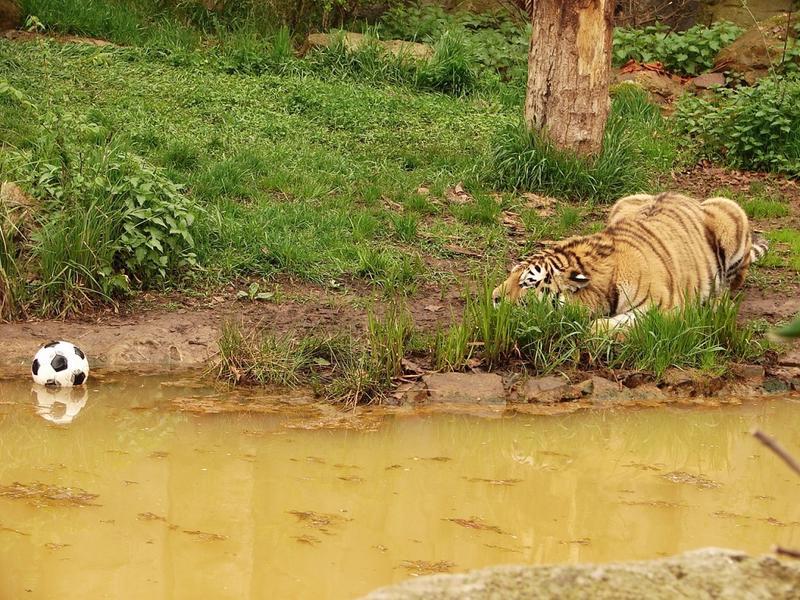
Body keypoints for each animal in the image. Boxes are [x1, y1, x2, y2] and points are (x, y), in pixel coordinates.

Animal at [490, 191, 772, 332]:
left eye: (527, 283)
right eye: (510, 275)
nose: (494, 298)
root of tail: (684, 195)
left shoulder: (667, 309)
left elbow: (615, 324)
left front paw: (588, 329)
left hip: (730, 210)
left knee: (735, 282)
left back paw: (717, 302)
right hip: (624, 202)